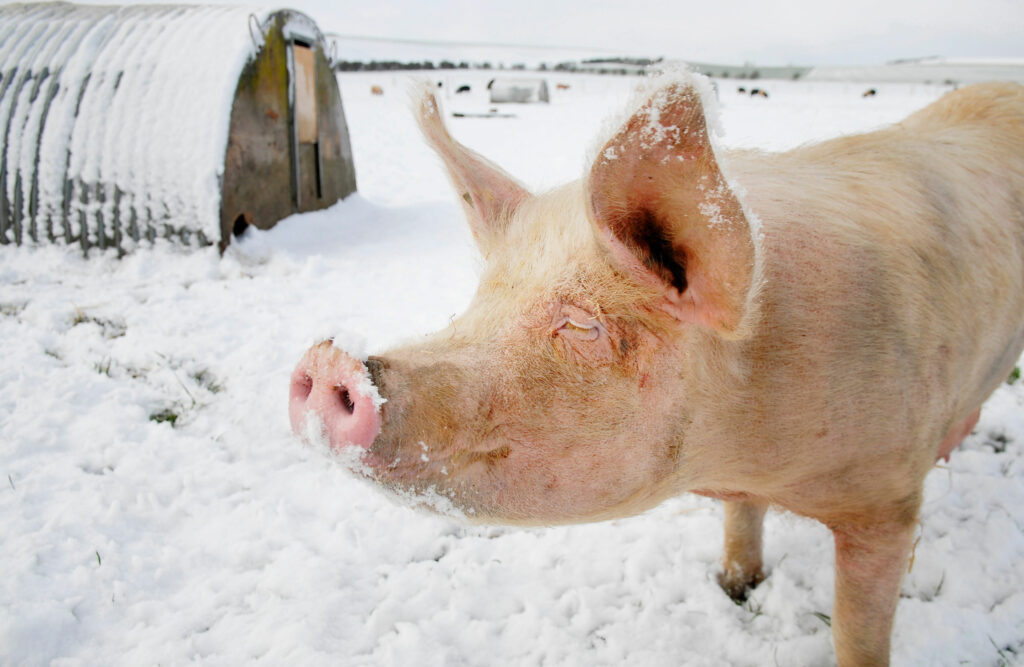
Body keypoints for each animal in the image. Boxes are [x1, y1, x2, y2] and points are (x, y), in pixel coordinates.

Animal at [286, 70, 1024, 663]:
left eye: (582, 326)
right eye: (480, 299)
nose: (331, 359)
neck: (736, 454)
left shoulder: (889, 499)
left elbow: (857, 631)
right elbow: (742, 519)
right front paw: (735, 585)